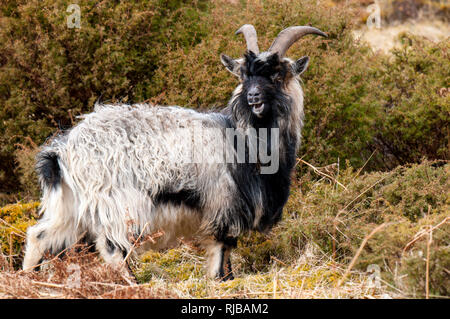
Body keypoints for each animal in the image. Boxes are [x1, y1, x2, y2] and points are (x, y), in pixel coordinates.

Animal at [22, 24, 326, 280]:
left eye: (277, 74)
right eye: (244, 74)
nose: (253, 97)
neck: (242, 136)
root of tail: (63, 149)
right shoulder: (223, 202)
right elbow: (222, 249)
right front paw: (220, 280)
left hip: (71, 204)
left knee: (39, 235)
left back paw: (27, 279)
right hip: (117, 204)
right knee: (111, 247)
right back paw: (132, 284)